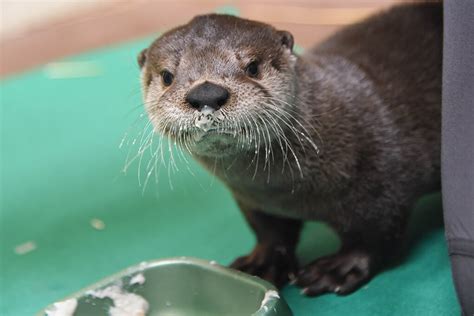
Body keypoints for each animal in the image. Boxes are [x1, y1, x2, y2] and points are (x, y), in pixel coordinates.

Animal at [137, 1, 444, 296]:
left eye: (252, 67)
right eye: (167, 76)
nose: (206, 93)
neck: (284, 190)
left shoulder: (382, 183)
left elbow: (375, 236)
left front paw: (340, 268)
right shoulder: (255, 202)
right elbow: (271, 233)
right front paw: (263, 262)